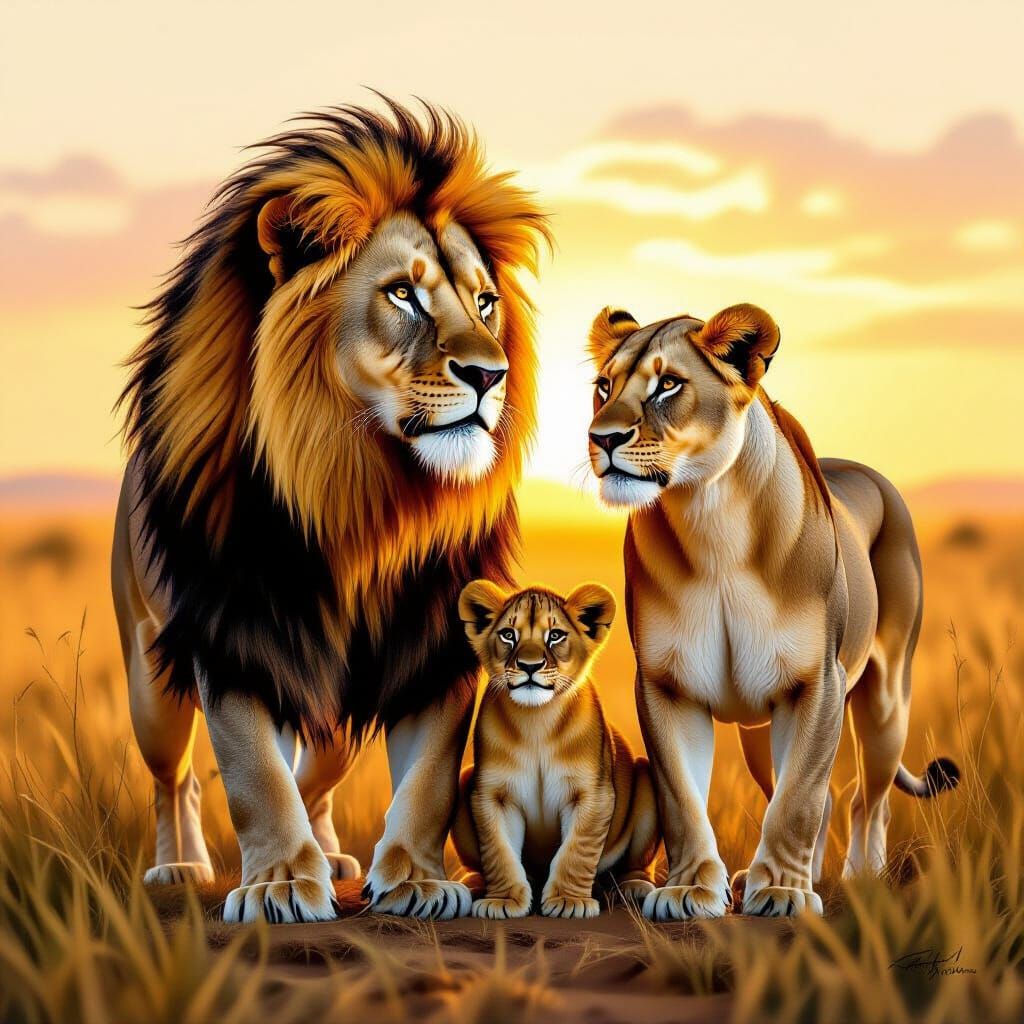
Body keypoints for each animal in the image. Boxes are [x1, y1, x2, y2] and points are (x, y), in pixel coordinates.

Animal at [112, 99, 549, 923]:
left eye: (485, 302)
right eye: (403, 294)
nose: (491, 374)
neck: (365, 497)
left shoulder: (432, 638)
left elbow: (429, 778)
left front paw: (414, 881)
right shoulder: (236, 634)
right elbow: (255, 775)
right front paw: (280, 884)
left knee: (317, 778)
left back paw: (334, 854)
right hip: (150, 673)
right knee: (174, 779)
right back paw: (179, 867)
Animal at [451, 581, 659, 919]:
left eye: (556, 635)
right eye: (508, 634)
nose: (530, 666)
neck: (537, 723)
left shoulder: (592, 794)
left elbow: (576, 851)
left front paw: (568, 901)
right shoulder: (493, 795)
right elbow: (499, 851)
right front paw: (504, 901)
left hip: (646, 778)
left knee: (636, 863)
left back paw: (634, 887)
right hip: (463, 782)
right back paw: (472, 882)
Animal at [585, 302, 959, 920]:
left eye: (668, 384)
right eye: (603, 386)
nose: (601, 438)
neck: (708, 517)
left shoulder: (817, 683)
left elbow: (798, 798)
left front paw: (783, 892)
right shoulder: (666, 684)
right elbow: (682, 798)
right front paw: (691, 891)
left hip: (885, 699)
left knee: (865, 798)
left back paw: (861, 879)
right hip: (758, 733)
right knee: (826, 796)